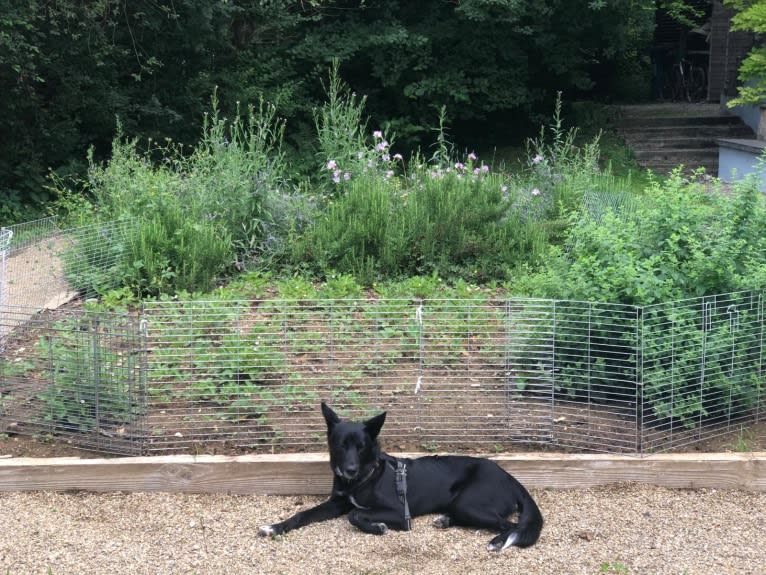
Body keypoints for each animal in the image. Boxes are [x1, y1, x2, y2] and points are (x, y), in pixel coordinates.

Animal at [260, 402, 544, 552]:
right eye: (341, 445)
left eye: (361, 447)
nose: (349, 469)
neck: (363, 478)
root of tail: (510, 477)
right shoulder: (337, 502)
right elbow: (302, 514)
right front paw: (275, 527)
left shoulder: (400, 513)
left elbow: (356, 514)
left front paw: (377, 527)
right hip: (462, 505)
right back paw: (446, 520)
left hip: (469, 502)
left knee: (510, 525)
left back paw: (497, 541)